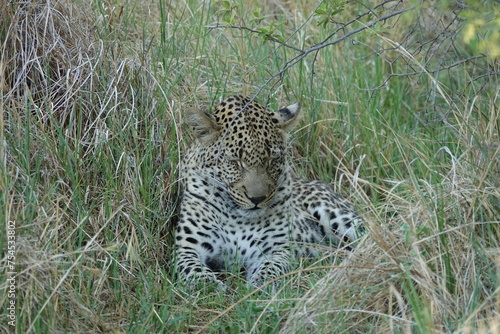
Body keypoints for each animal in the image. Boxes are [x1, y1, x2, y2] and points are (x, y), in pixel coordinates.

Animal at [176, 94, 364, 290]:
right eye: (235, 161)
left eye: (271, 160)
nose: (257, 199)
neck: (237, 218)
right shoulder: (188, 249)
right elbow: (193, 271)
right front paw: (212, 286)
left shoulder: (276, 248)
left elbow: (272, 267)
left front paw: (259, 284)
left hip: (337, 216)